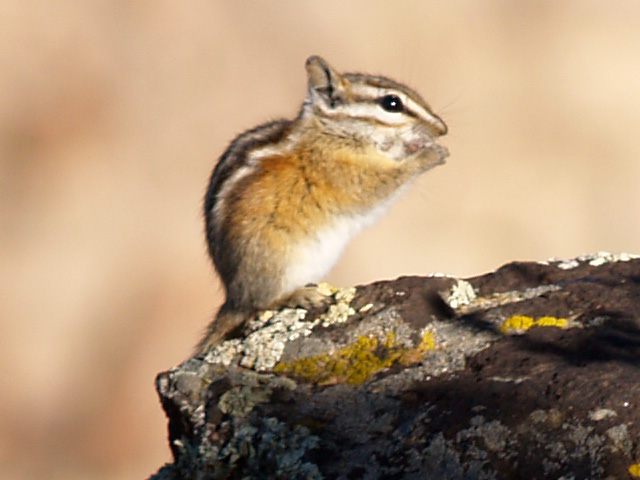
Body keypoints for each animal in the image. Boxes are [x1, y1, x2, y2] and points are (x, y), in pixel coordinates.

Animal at [197, 55, 449, 353]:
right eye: (392, 103)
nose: (442, 129)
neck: (333, 131)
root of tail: (233, 297)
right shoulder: (348, 173)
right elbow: (383, 183)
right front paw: (429, 154)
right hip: (275, 262)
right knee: (261, 304)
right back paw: (298, 296)